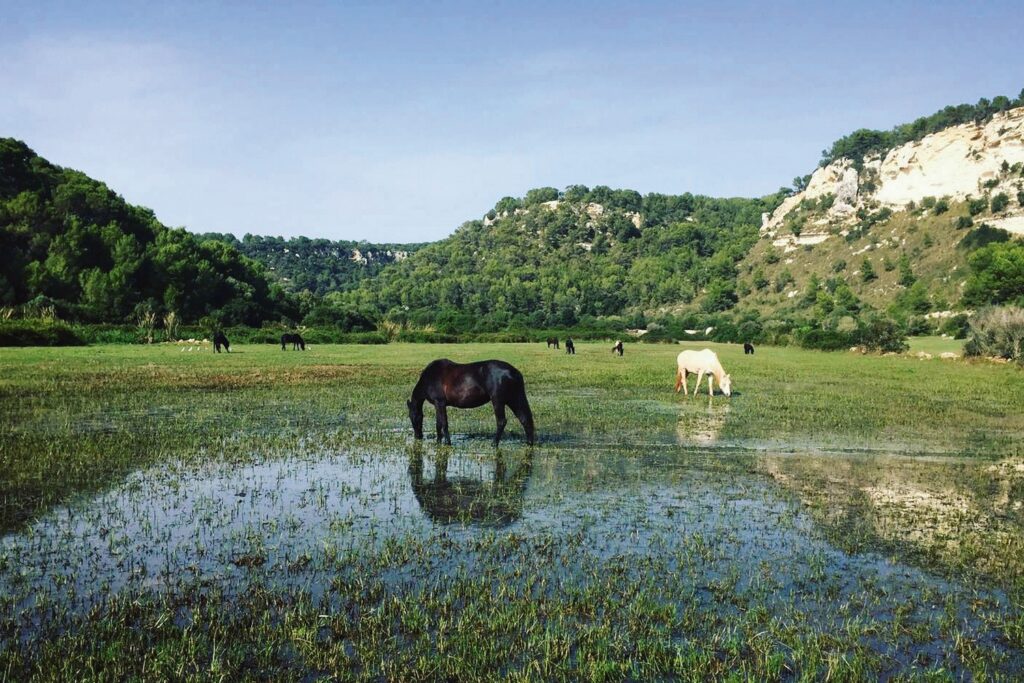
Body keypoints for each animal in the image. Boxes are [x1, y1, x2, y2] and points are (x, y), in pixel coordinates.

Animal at [405, 358, 536, 448]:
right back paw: (529, 442)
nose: (418, 436)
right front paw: (438, 442)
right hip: (514, 399)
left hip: (498, 401)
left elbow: (444, 423)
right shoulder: (438, 405)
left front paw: (447, 442)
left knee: (501, 421)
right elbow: (438, 424)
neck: (430, 377)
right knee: (524, 418)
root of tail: (514, 372)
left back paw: (494, 443)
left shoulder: (440, 403)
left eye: (413, 417)